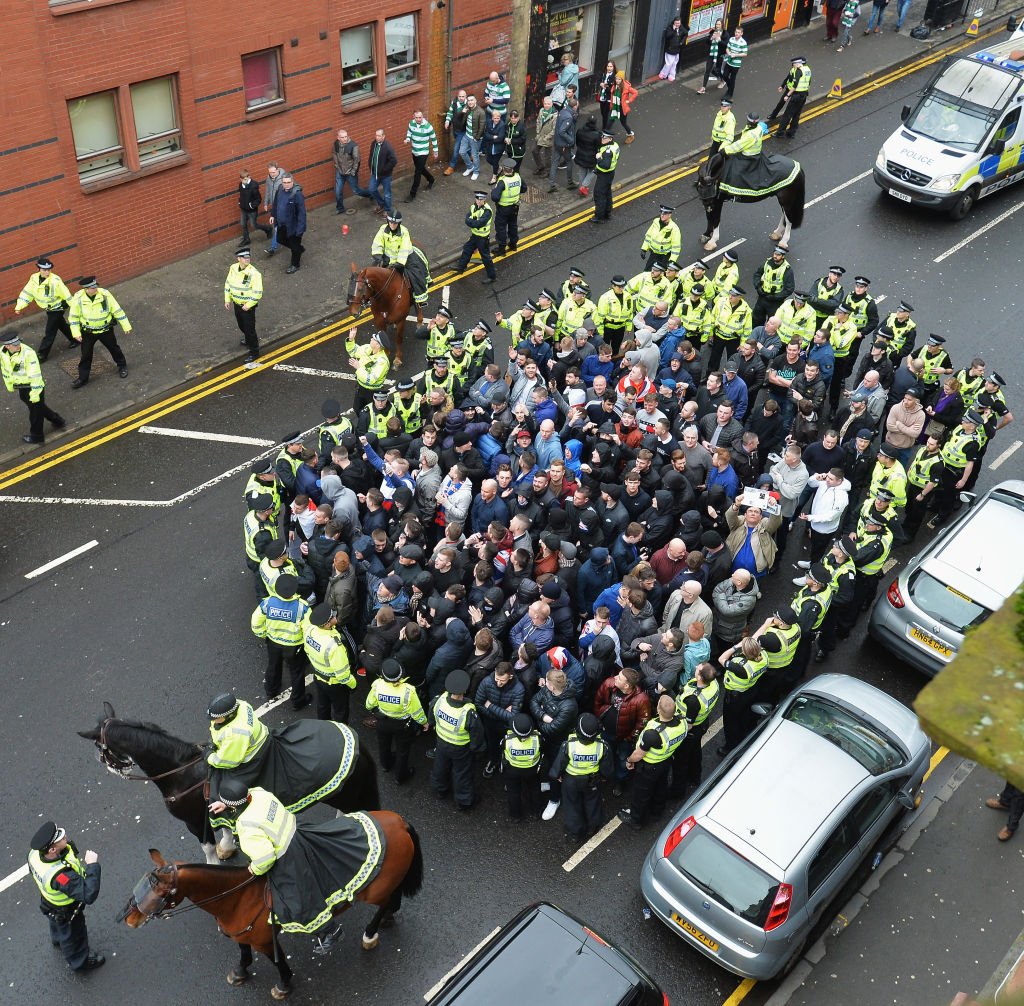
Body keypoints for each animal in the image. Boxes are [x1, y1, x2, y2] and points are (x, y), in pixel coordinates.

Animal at [79, 708, 382, 864]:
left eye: (99, 746)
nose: (103, 763)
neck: (182, 771)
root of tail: (358, 741)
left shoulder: (194, 821)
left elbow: (208, 849)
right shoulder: (213, 811)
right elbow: (224, 827)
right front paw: (228, 845)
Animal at [120, 811, 423, 999]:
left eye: (159, 892)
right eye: (142, 883)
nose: (129, 919)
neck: (237, 897)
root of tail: (399, 822)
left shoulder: (265, 940)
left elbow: (278, 963)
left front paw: (284, 985)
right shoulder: (240, 934)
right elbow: (243, 954)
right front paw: (240, 972)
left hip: (375, 890)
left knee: (384, 902)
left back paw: (371, 933)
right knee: (394, 896)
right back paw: (388, 919)